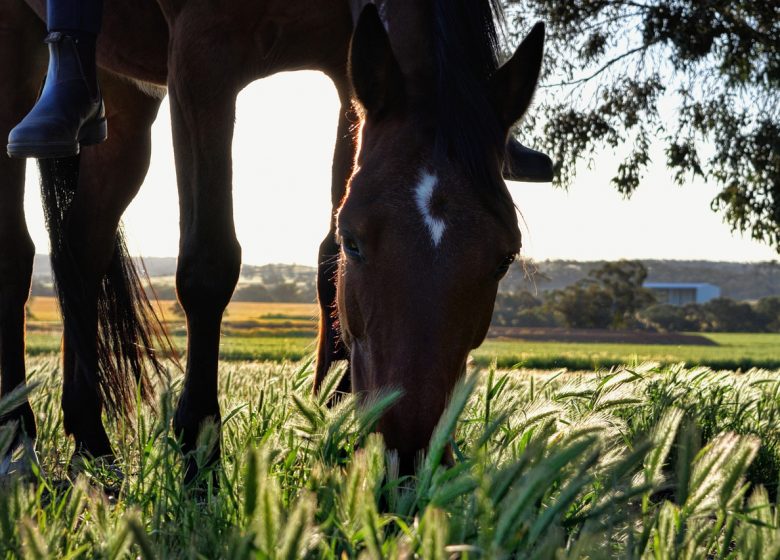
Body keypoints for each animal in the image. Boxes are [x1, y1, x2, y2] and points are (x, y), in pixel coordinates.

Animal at [0, 0, 550, 481]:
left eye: (505, 258)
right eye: (356, 241)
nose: (410, 456)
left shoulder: (346, 69)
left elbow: (327, 265)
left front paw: (333, 428)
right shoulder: (202, 55)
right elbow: (208, 263)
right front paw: (200, 455)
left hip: (124, 95)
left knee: (81, 247)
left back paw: (91, 447)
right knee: (18, 252)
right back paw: (18, 441)